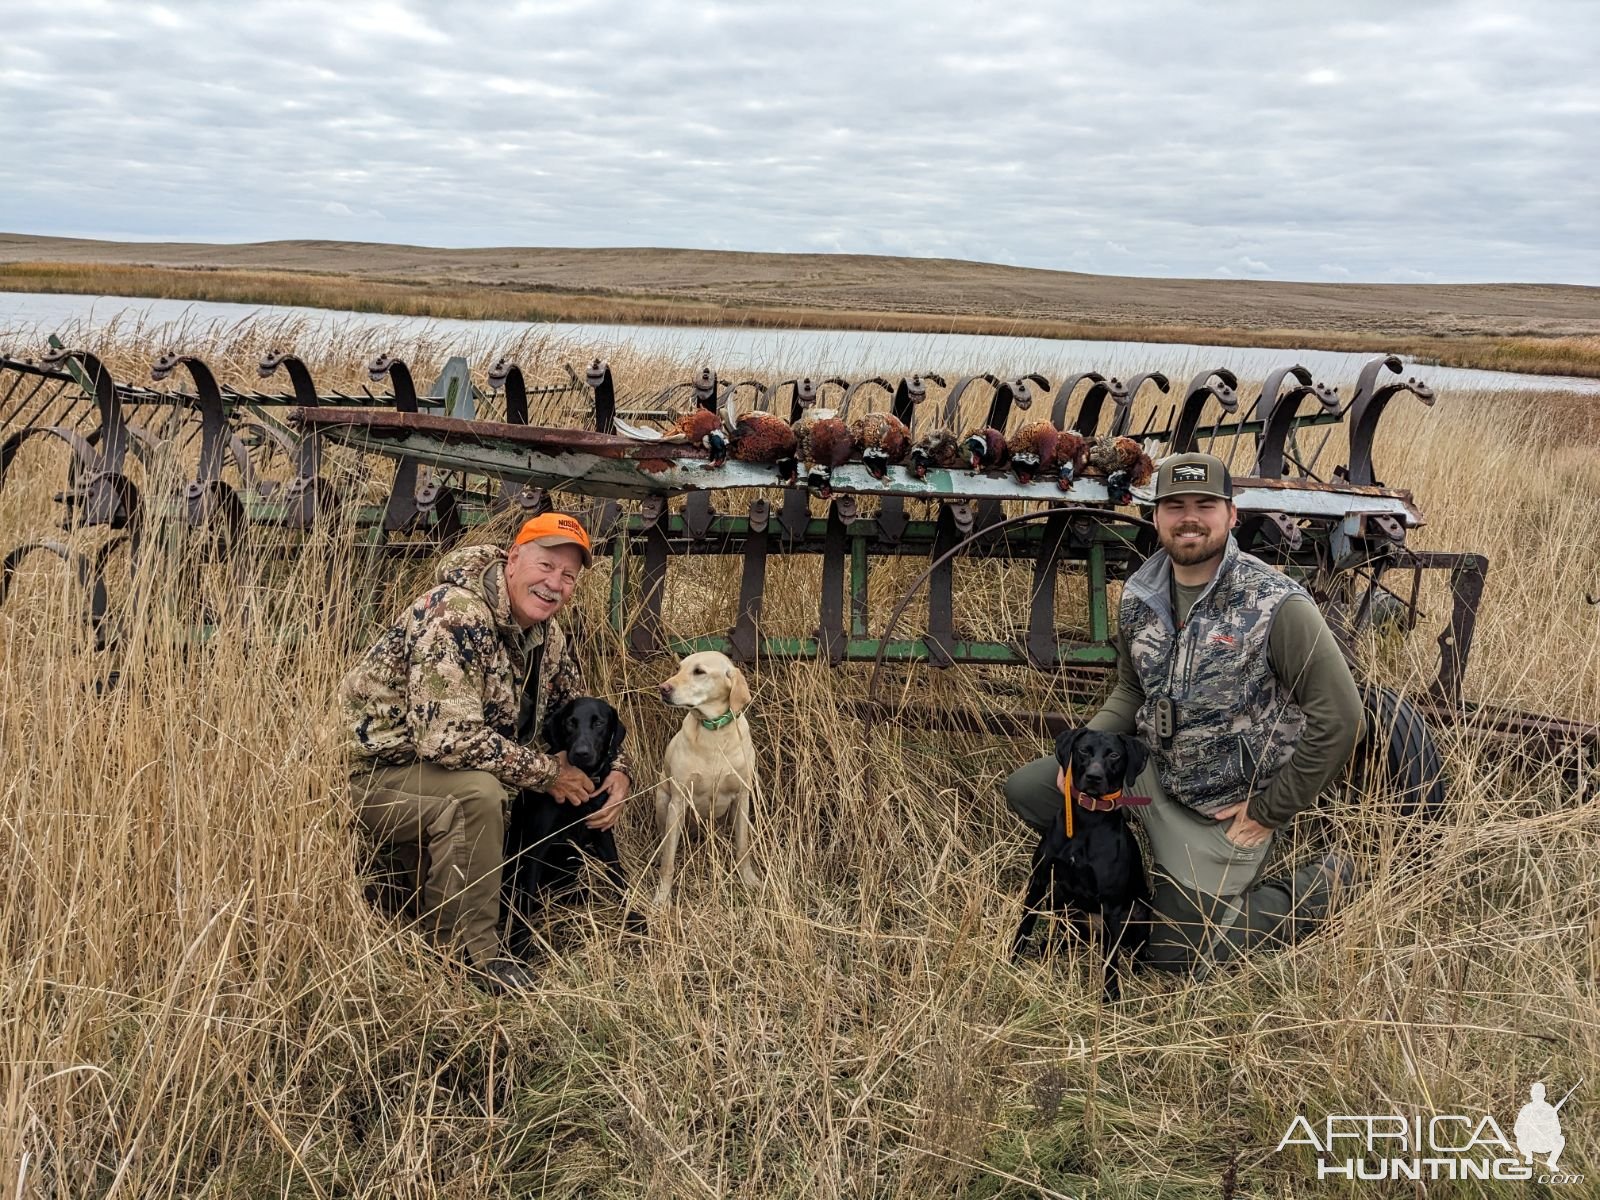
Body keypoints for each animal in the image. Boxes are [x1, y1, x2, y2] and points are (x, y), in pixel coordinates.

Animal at [505, 691, 643, 953]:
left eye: (598, 723)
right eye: (570, 722)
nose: (581, 753)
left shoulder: (602, 832)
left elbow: (617, 875)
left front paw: (633, 918)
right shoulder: (536, 847)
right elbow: (526, 899)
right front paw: (519, 950)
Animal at [656, 652, 768, 908]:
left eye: (699, 671)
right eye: (678, 668)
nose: (663, 688)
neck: (713, 732)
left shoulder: (743, 797)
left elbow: (743, 848)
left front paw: (750, 880)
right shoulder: (678, 801)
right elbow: (668, 861)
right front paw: (662, 897)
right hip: (662, 798)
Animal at [1011, 729, 1152, 998]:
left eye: (1114, 755)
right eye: (1084, 750)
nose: (1094, 777)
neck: (1089, 820)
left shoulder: (1111, 906)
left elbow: (1110, 961)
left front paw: (1111, 996)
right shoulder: (1040, 880)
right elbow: (1025, 924)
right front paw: (1011, 960)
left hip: (1139, 912)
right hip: (1061, 903)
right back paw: (1048, 949)